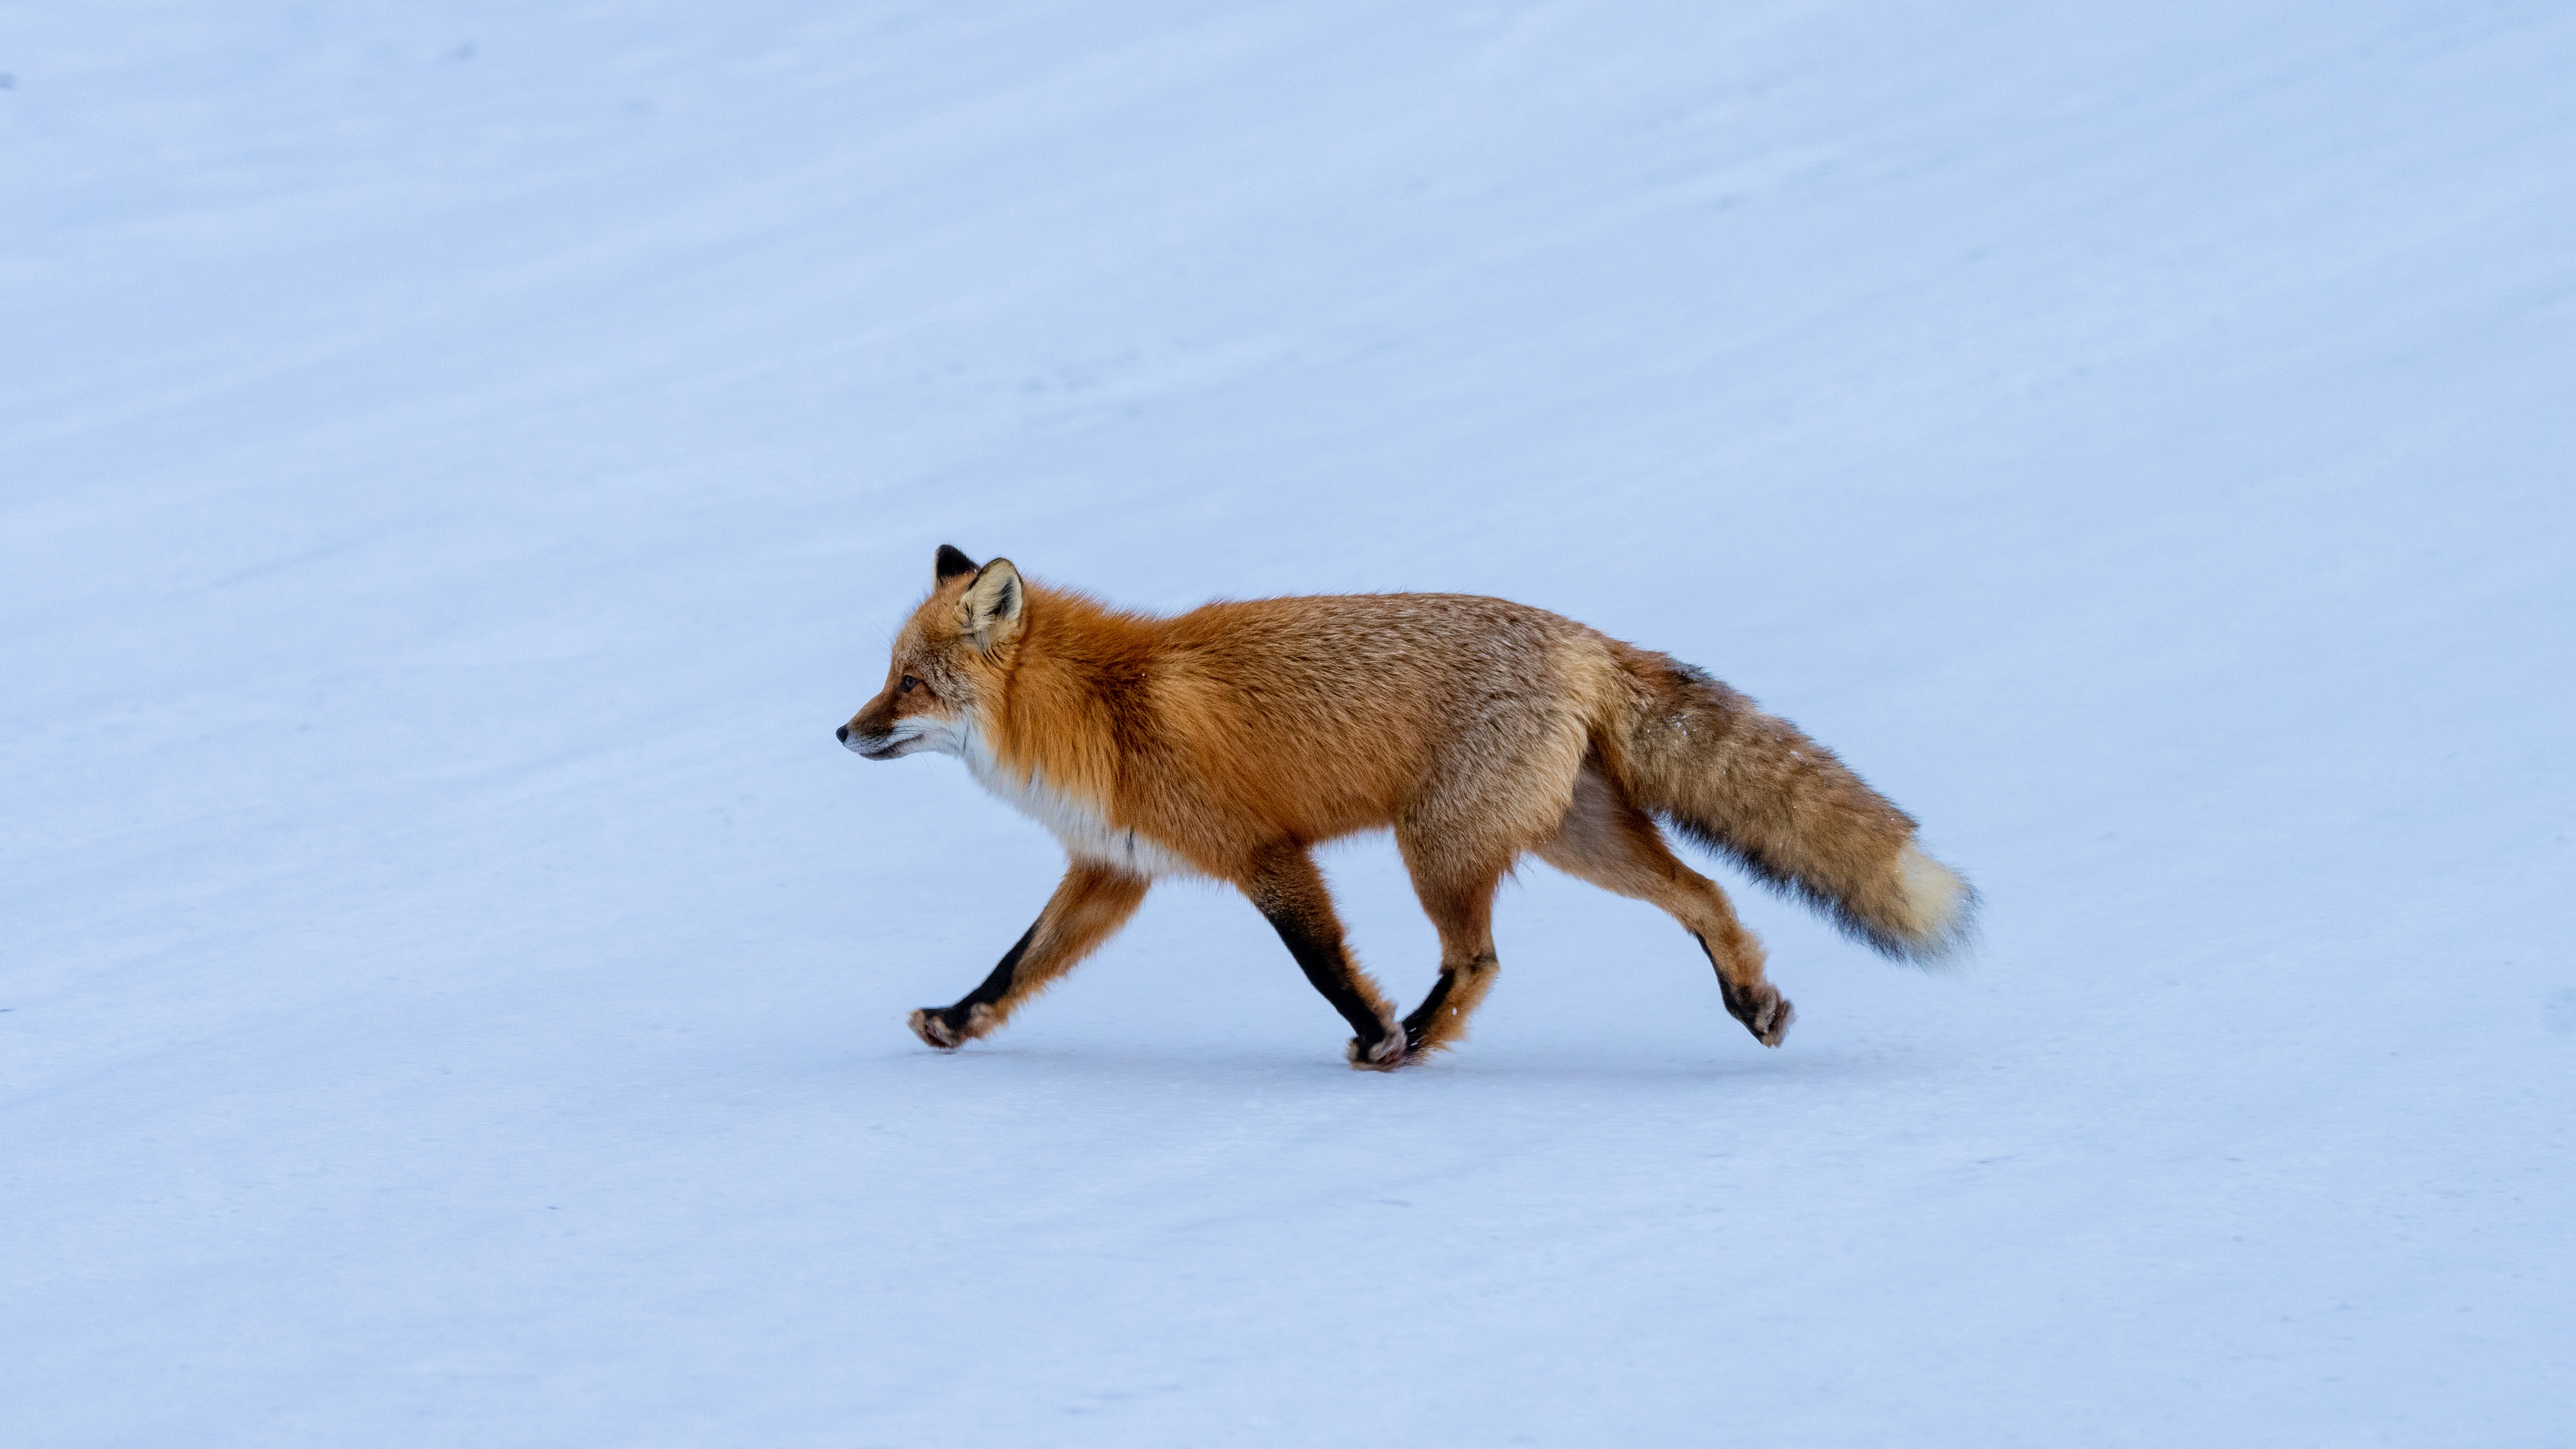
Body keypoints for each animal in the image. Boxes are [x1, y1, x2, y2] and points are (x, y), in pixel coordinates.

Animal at [837, 545, 1975, 1070]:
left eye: (910, 684)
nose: (841, 733)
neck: (1097, 710)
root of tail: (1582, 638)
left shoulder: (1262, 852)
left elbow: (1320, 962)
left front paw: (1377, 1029)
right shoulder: (1114, 870)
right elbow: (1014, 965)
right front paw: (953, 1021)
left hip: (1434, 846)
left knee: (1479, 960)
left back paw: (1414, 1041)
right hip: (1575, 839)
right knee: (1703, 895)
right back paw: (1752, 1001)